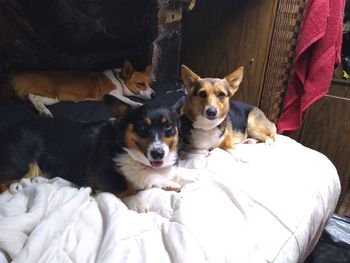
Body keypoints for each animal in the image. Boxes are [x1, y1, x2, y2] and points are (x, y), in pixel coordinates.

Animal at [1, 60, 154, 118]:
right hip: (53, 96)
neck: (119, 79)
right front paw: (138, 104)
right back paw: (44, 111)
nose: (154, 95)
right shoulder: (111, 93)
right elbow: (128, 100)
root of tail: (19, 74)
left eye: (150, 83)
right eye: (140, 84)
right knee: (32, 96)